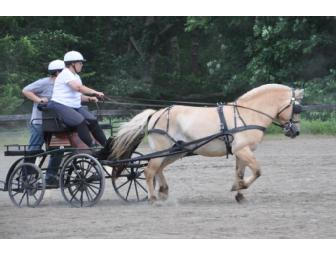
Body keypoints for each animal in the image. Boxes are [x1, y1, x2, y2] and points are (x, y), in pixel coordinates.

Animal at [109, 84, 304, 203]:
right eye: (297, 108)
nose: (295, 131)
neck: (247, 114)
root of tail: (156, 113)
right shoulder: (243, 150)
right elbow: (257, 171)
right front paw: (239, 187)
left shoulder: (241, 151)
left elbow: (240, 173)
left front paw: (239, 194)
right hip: (163, 150)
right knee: (149, 171)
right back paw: (153, 198)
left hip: (175, 151)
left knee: (158, 169)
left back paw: (163, 191)